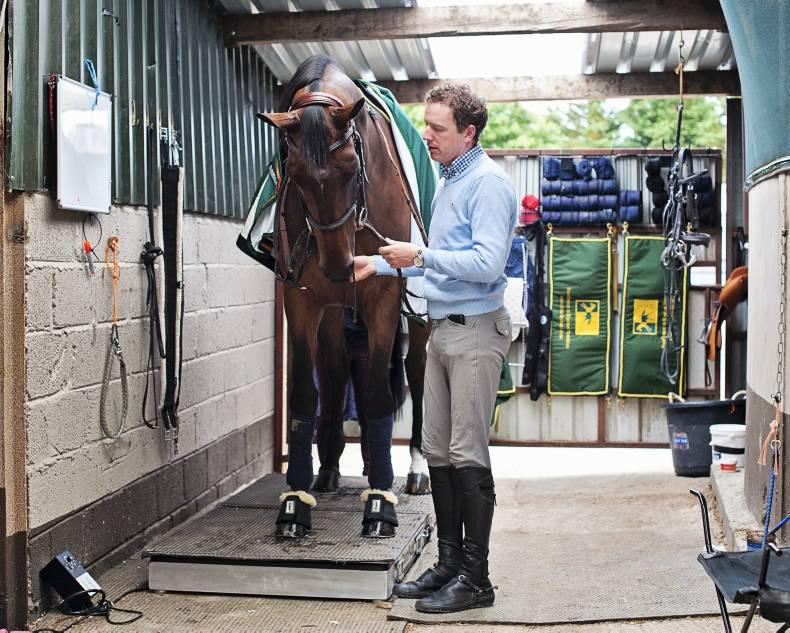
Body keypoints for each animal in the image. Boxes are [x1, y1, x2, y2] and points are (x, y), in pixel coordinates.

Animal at [257, 55, 429, 539]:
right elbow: (304, 396)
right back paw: (330, 468)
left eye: (353, 169)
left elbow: (377, 396)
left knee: (417, 375)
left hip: (418, 317)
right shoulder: (301, 298)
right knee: (334, 370)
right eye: (294, 176)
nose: (339, 266)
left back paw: (414, 469)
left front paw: (380, 502)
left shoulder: (383, 298)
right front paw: (295, 503)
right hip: (332, 310)